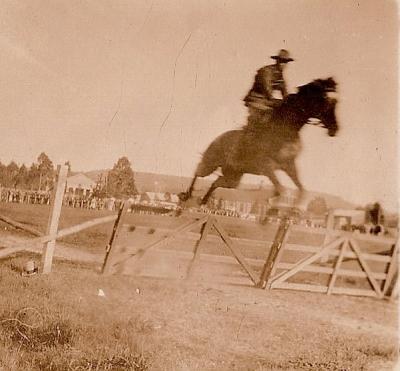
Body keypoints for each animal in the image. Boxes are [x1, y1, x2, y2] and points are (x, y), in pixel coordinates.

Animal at [180, 78, 340, 206]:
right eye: (328, 103)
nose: (335, 129)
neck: (284, 130)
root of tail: (218, 138)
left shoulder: (289, 165)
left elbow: (300, 190)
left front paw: (291, 210)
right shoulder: (267, 166)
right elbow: (281, 189)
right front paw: (271, 210)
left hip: (233, 177)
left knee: (216, 182)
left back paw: (203, 201)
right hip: (211, 163)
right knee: (198, 171)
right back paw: (186, 195)